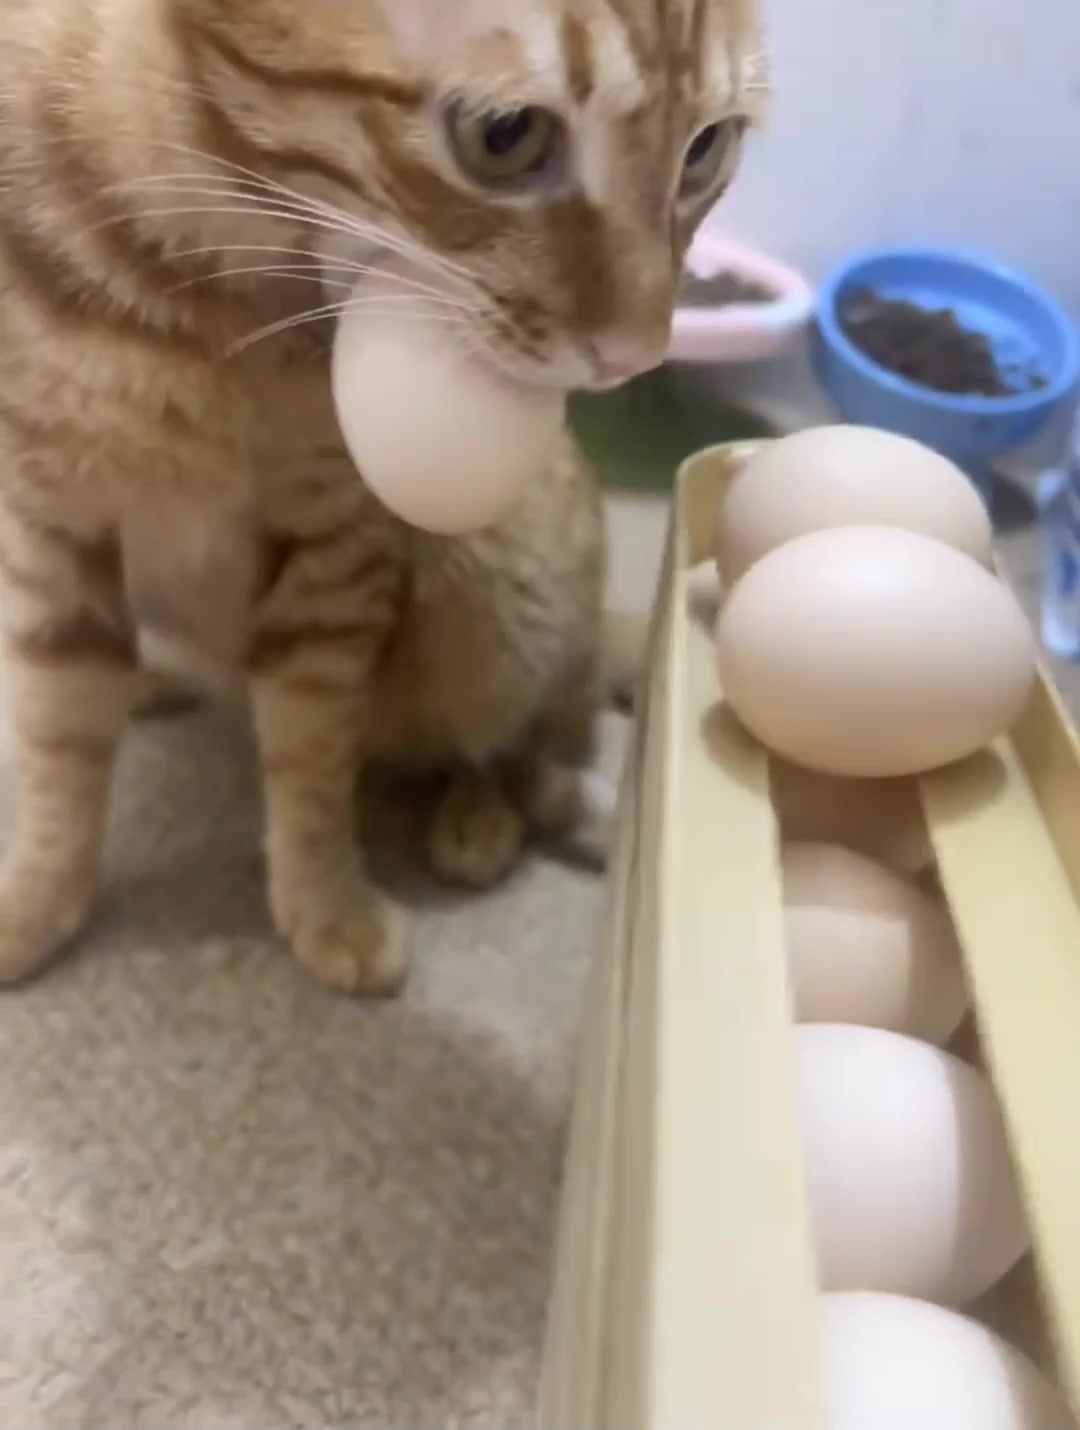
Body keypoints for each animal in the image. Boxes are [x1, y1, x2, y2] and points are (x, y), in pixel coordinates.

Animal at [0, 0, 766, 994]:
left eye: (707, 148)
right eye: (505, 135)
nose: (639, 352)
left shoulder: (336, 556)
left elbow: (312, 758)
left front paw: (326, 902)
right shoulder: (50, 533)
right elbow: (58, 747)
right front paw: (41, 894)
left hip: (492, 602)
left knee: (528, 747)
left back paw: (484, 823)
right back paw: (161, 677)